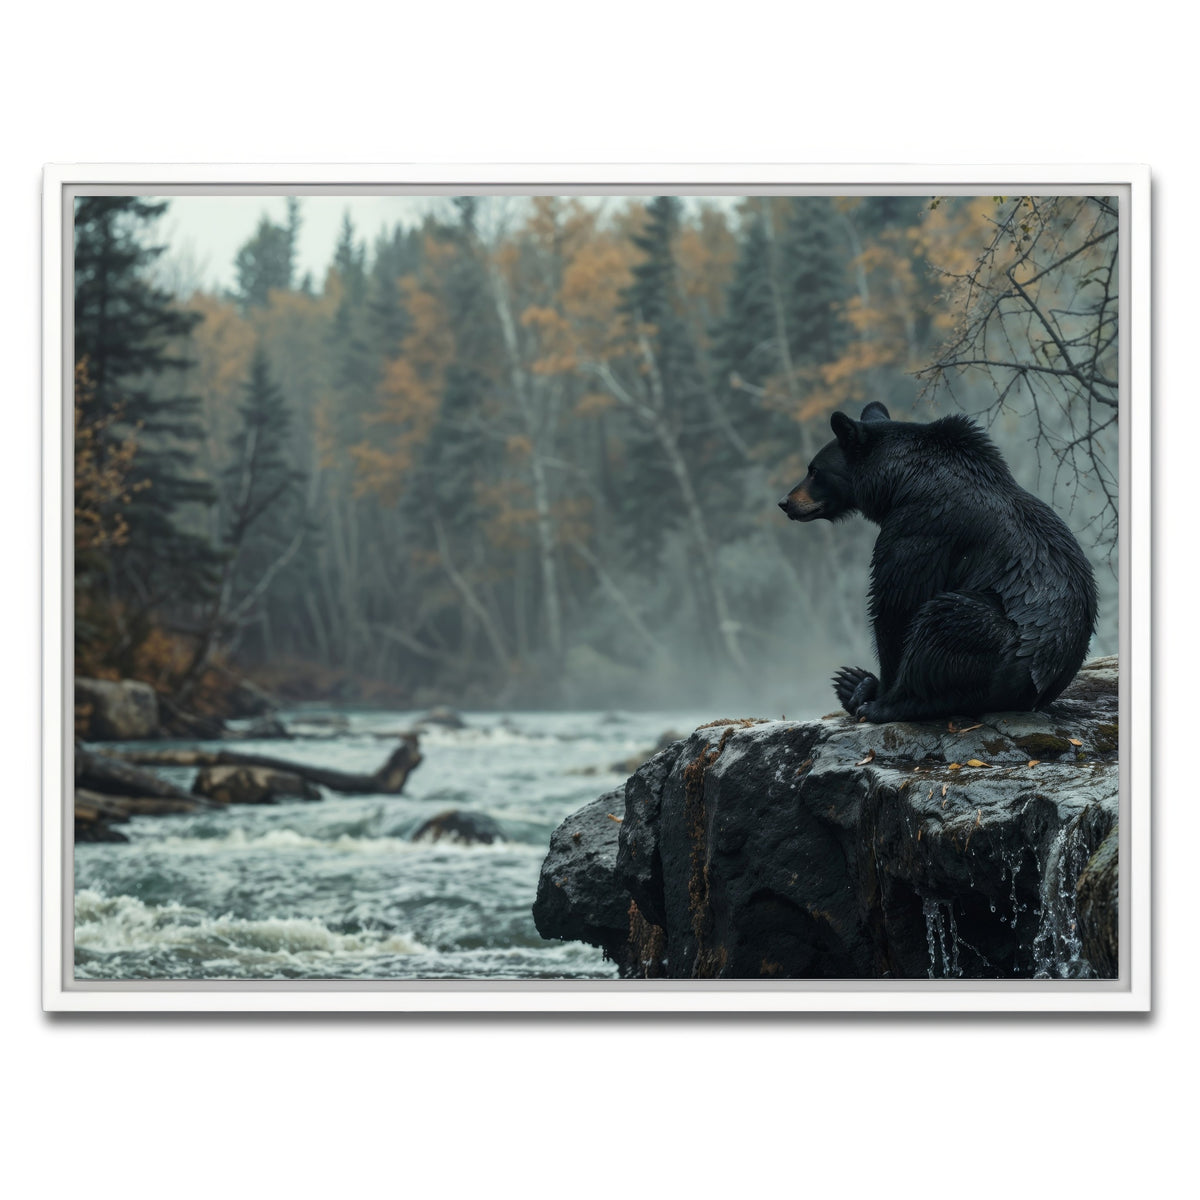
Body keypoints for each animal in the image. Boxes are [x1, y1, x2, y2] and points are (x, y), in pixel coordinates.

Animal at [777, 401, 1097, 724]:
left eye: (814, 470)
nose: (785, 502)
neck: (900, 481)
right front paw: (858, 683)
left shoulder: (922, 526)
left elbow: (898, 601)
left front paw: (877, 693)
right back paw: (853, 682)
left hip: (1003, 648)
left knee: (946, 620)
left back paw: (878, 699)